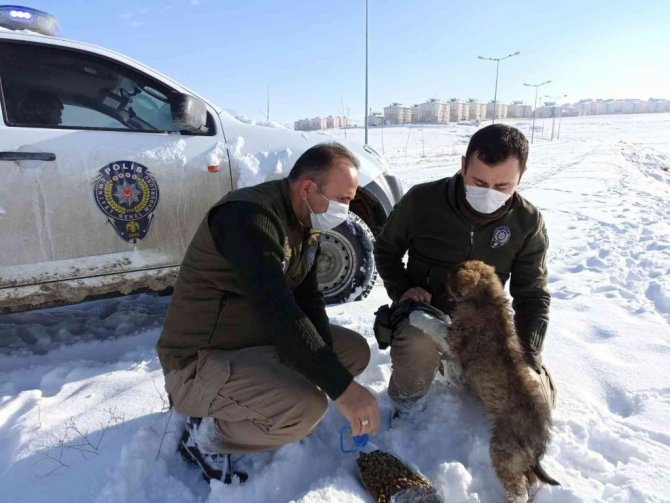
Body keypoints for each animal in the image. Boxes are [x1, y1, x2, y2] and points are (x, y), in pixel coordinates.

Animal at [444, 260, 559, 502]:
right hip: (519, 461)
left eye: (455, 272)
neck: (486, 299)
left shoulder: (455, 341)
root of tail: (537, 442)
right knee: (530, 481)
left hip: (504, 453)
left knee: (517, 489)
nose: (444, 273)